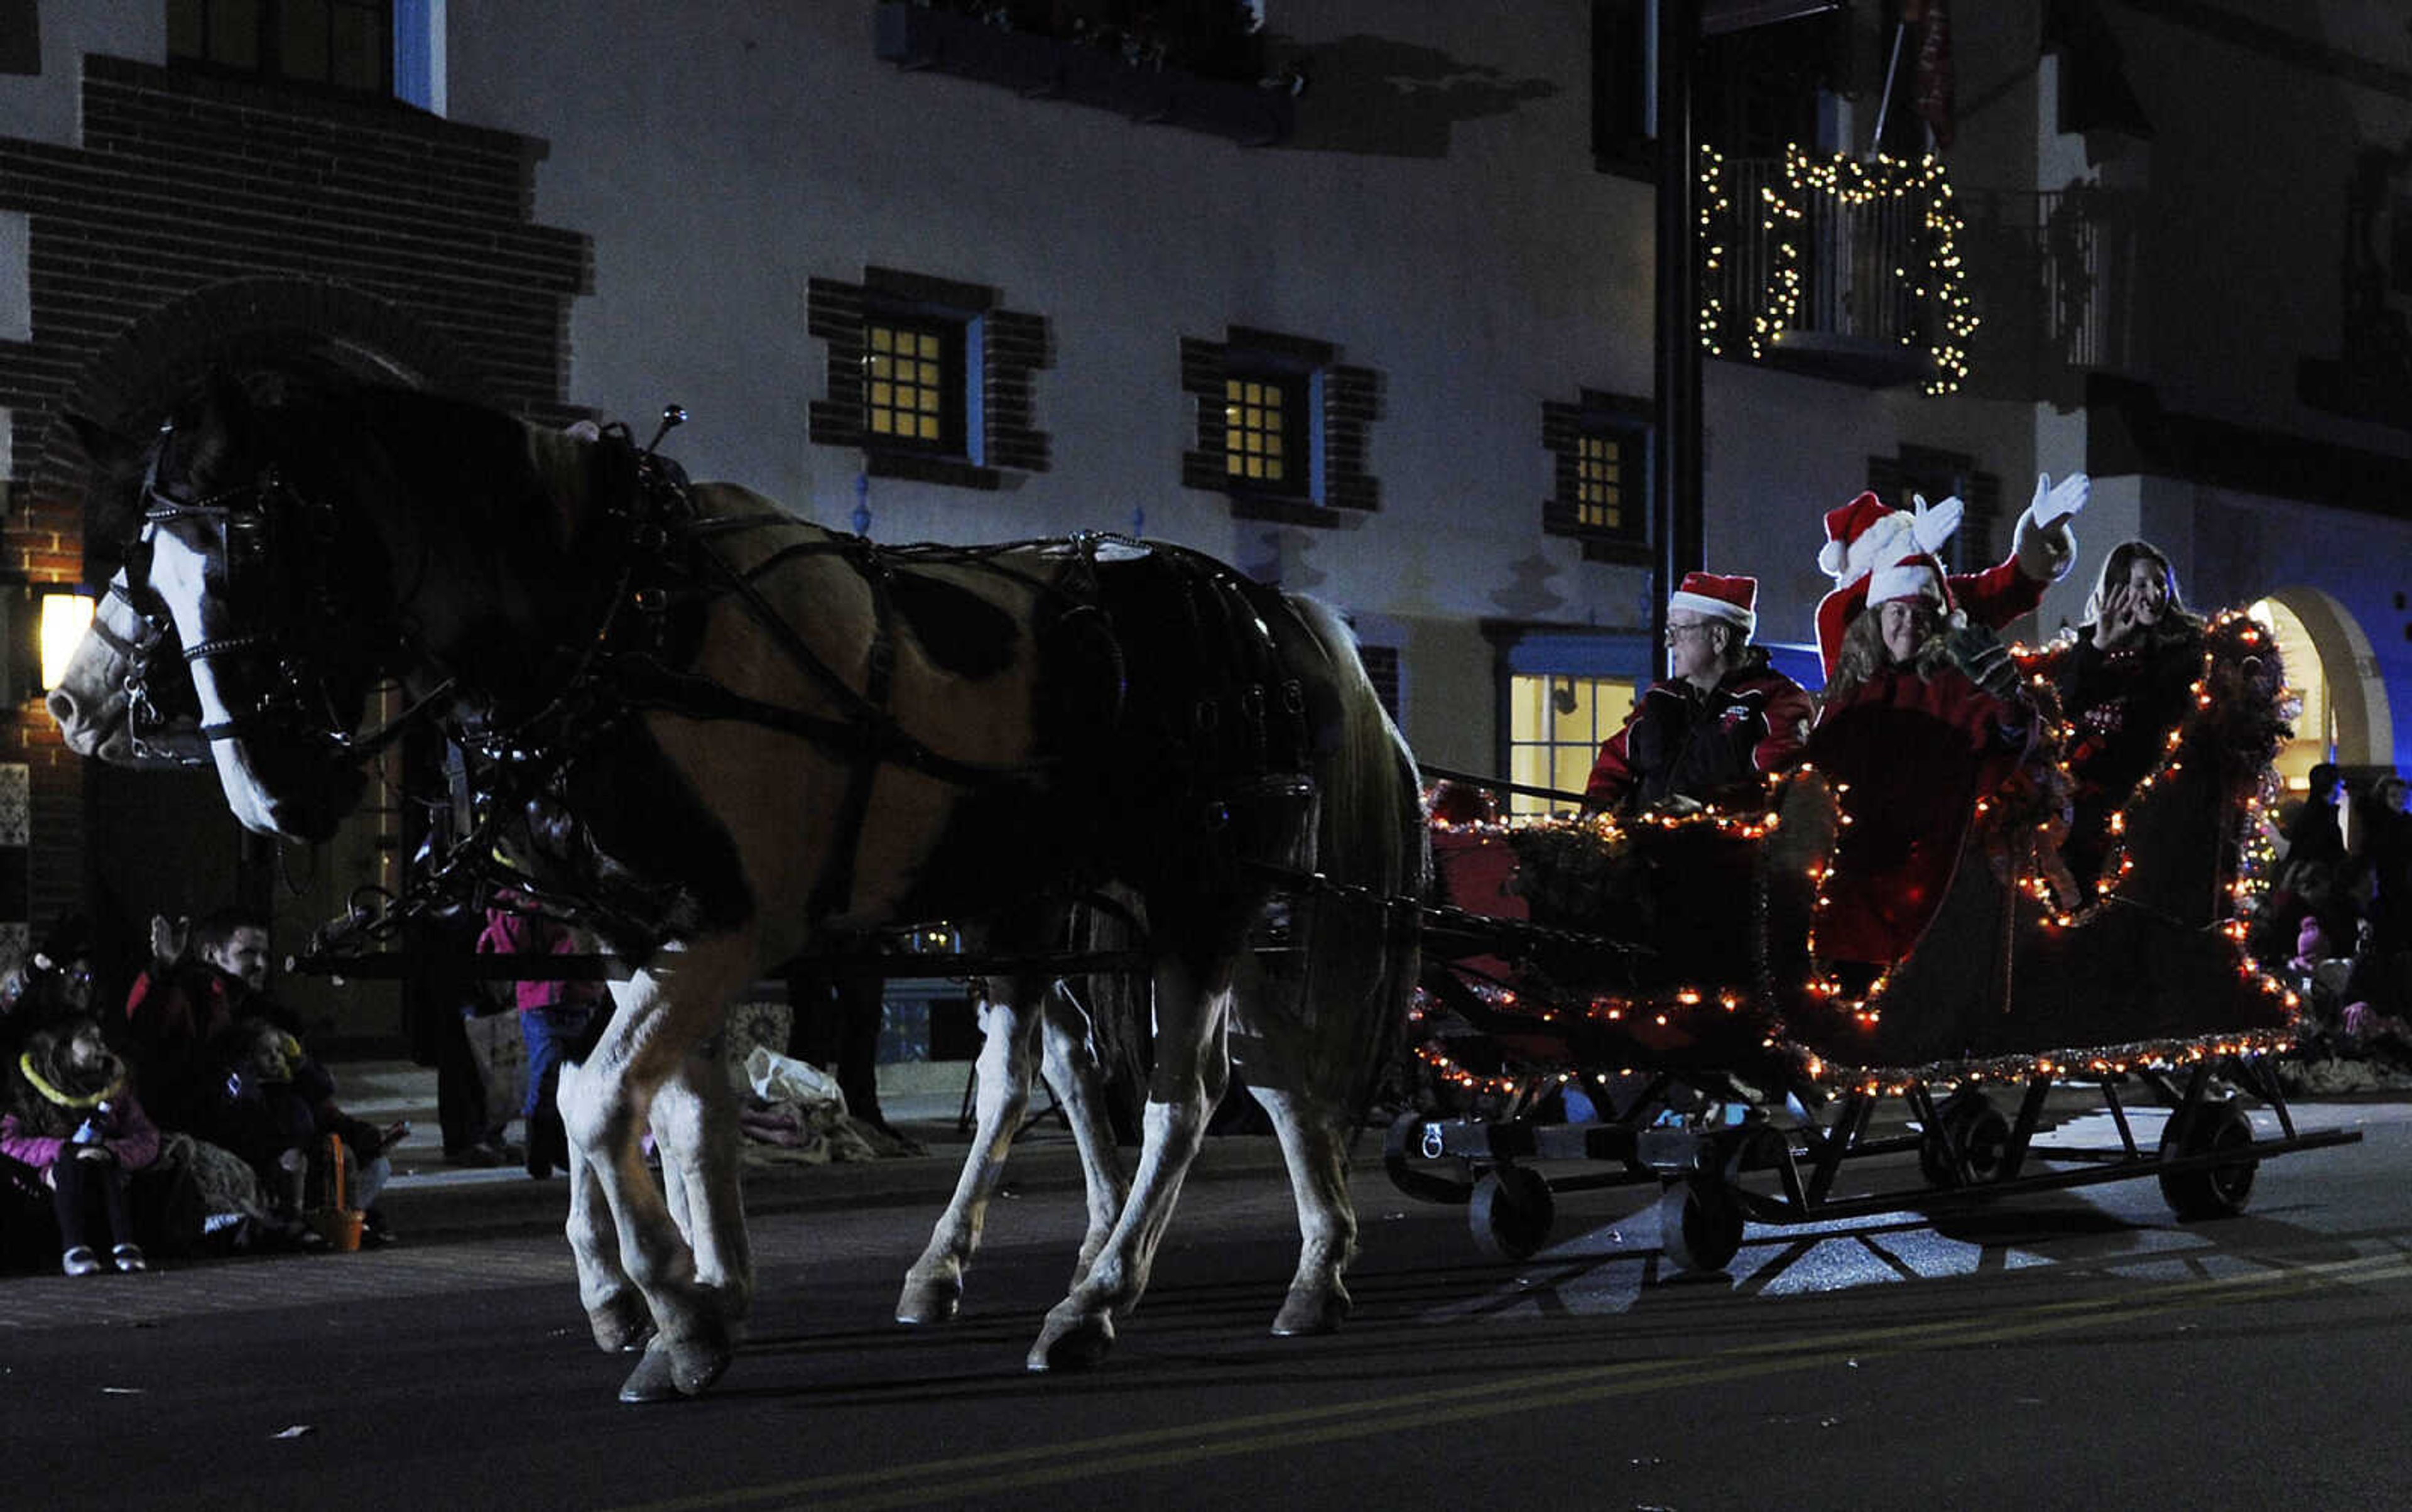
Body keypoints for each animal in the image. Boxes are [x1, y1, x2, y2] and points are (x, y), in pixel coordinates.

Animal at [61, 378, 1428, 1408]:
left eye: (257, 551)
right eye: (147, 571)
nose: (269, 795)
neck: (616, 621)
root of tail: (1261, 609)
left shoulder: (725, 922)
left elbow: (598, 1098)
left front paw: (665, 1298)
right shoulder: (635, 936)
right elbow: (664, 1110)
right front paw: (698, 1301)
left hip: (1209, 896)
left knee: (1197, 1094)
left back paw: (1104, 1298)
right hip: (1075, 905)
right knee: (1135, 1076)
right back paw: (1245, 1267)